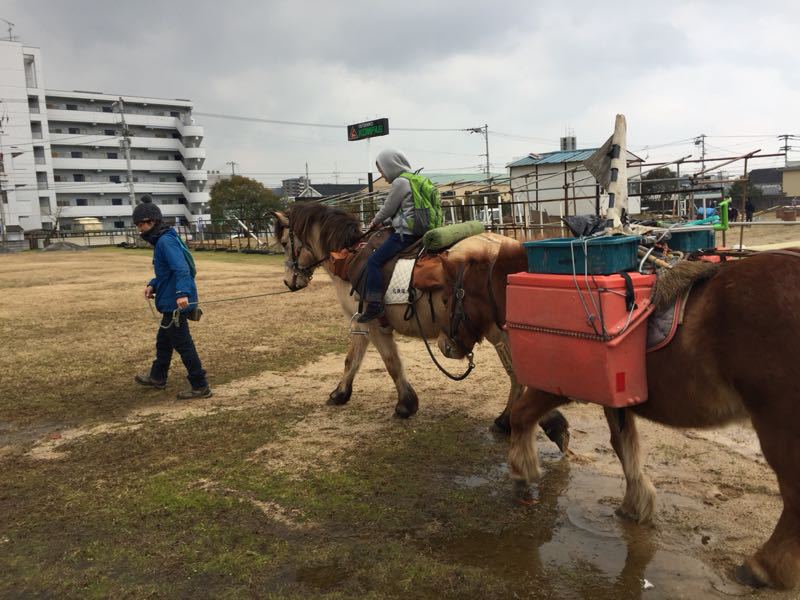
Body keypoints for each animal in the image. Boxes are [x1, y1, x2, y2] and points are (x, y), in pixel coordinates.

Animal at [268, 202, 568, 450]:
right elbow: (352, 360)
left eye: (283, 242)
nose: (288, 281)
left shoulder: (372, 325)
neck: (349, 258)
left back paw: (512, 420)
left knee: (518, 375)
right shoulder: (362, 325)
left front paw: (405, 404)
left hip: (499, 332)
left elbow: (391, 363)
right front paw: (340, 393)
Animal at [440, 241, 800, 588]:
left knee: (793, 493)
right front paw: (636, 504)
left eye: (445, 299)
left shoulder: (553, 387)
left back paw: (763, 568)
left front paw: (522, 472)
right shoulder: (613, 398)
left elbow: (520, 416)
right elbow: (624, 445)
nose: (446, 346)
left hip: (777, 421)